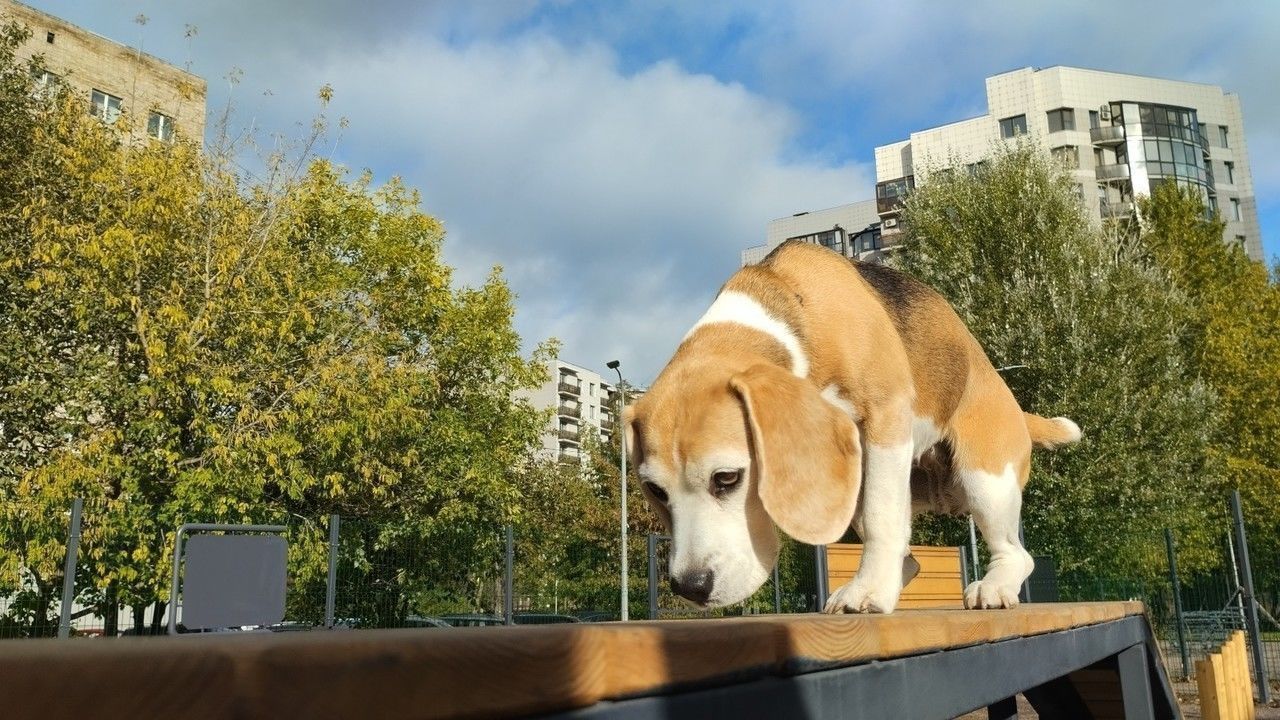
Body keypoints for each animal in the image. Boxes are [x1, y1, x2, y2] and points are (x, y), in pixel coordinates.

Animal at [624, 240, 1075, 609]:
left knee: (1016, 554)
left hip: (985, 480)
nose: (691, 586)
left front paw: (870, 590)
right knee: (908, 554)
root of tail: (1010, 400)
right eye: (655, 491)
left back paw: (992, 587)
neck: (793, 310)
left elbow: (880, 516)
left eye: (727, 478)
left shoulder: (887, 417)